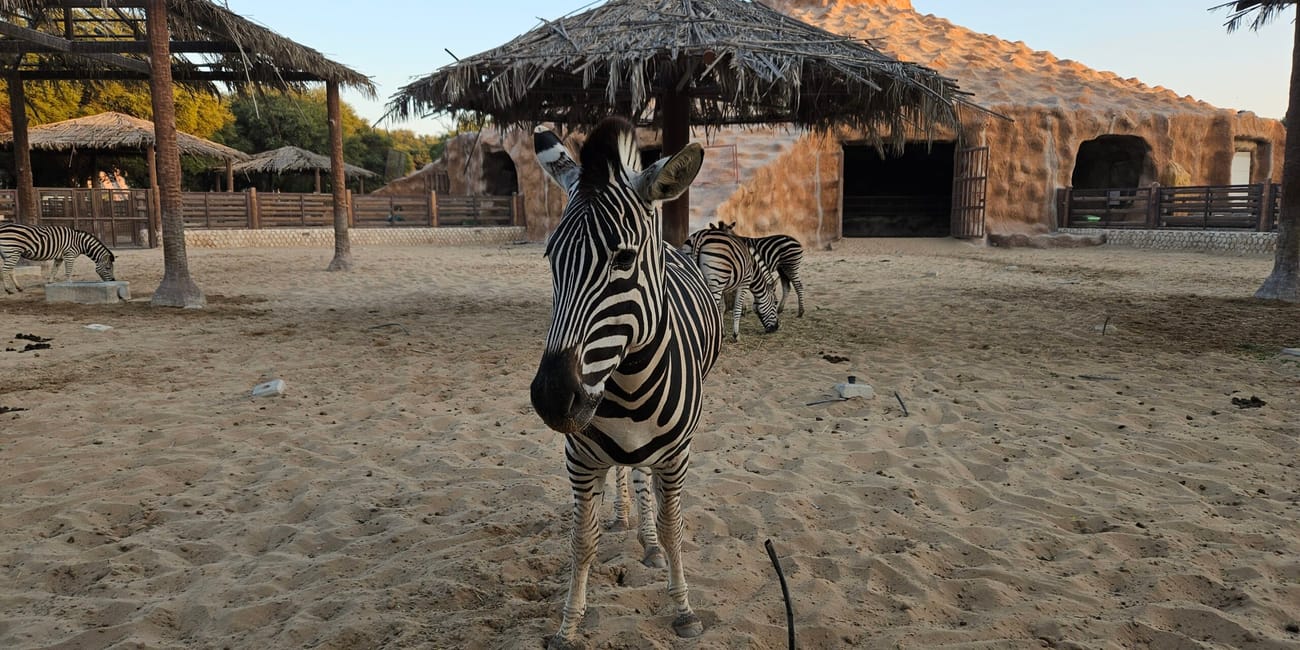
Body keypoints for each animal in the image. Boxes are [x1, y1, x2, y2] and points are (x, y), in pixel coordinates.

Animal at [529, 117, 722, 649]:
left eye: (623, 258)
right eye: (551, 257)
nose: (553, 397)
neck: (629, 384)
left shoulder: (676, 455)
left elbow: (673, 527)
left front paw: (683, 609)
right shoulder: (578, 455)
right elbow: (583, 538)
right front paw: (569, 624)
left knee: (643, 481)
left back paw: (648, 543)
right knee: (624, 471)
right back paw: (623, 515)